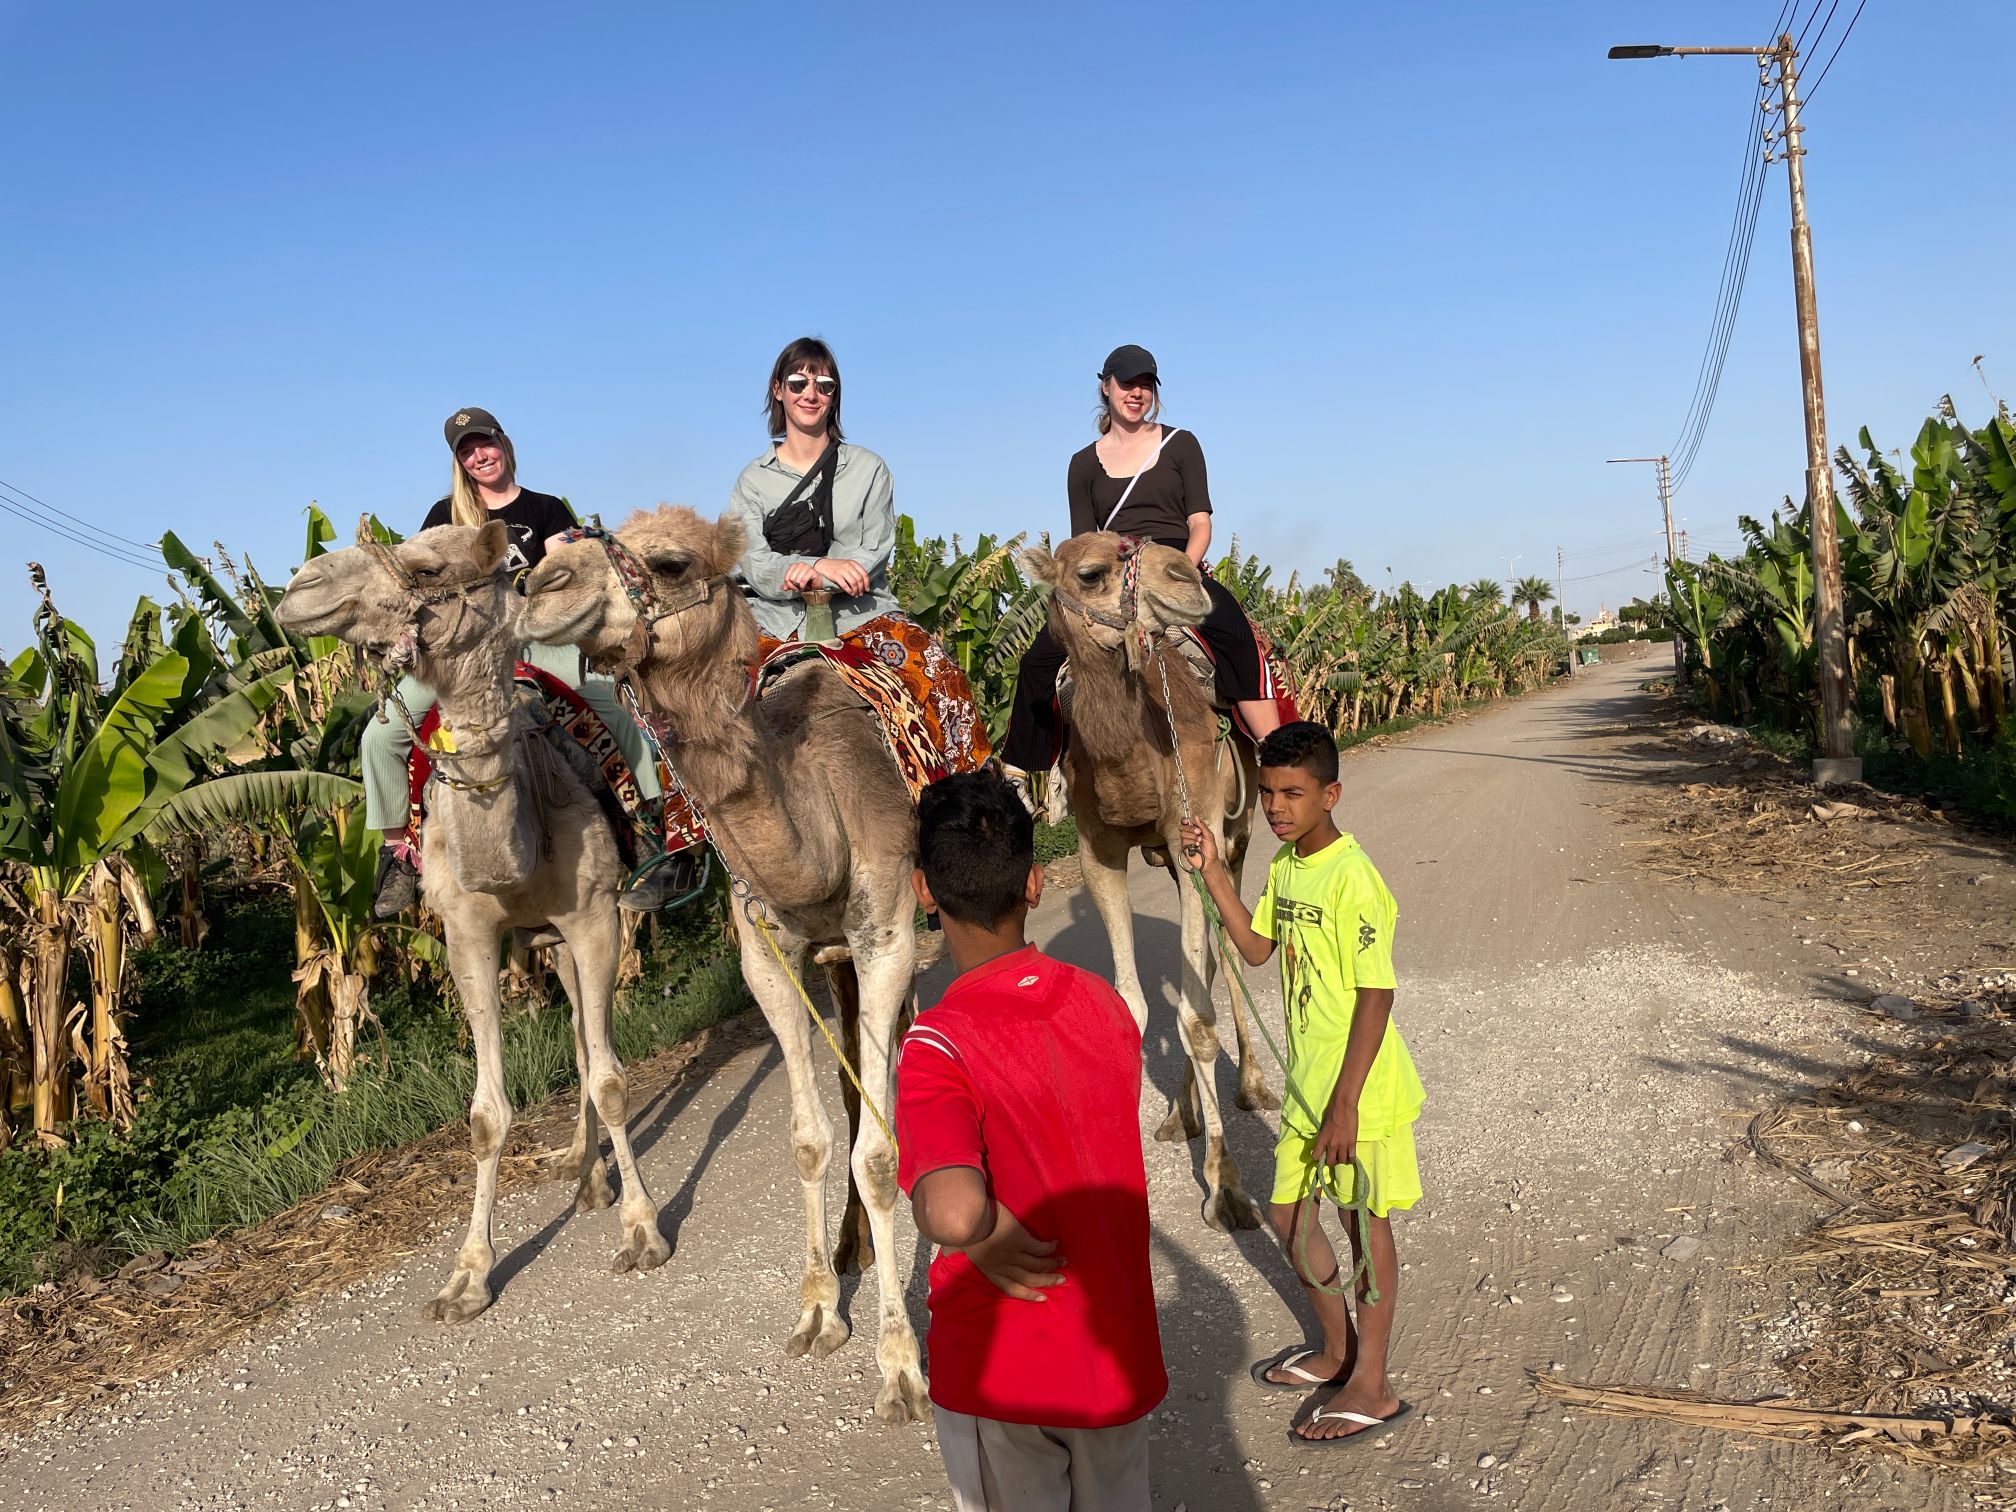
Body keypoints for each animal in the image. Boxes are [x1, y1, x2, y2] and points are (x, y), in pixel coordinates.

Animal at [274, 524, 669, 1322]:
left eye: (427, 566)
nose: (300, 585)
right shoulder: (466, 935)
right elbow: (487, 1114)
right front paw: (466, 1277)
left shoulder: (593, 916)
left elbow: (613, 1081)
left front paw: (643, 1231)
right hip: (544, 941)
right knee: (577, 1038)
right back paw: (584, 1174)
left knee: (589, 1045)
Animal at [516, 510, 931, 1435]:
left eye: (671, 562)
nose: (536, 583)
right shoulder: (767, 955)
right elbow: (813, 1137)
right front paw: (817, 1311)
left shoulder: (887, 934)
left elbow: (880, 1153)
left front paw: (901, 1367)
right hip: (833, 961)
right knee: (853, 1078)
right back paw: (850, 1246)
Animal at [1024, 532, 1257, 1233]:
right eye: (1090, 573)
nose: (1186, 578)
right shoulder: (1099, 850)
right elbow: (1134, 1004)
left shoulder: (1196, 832)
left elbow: (1198, 1017)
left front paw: (1225, 1188)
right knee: (1203, 963)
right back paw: (1180, 1113)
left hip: (1235, 838)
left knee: (1227, 953)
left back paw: (1252, 1086)